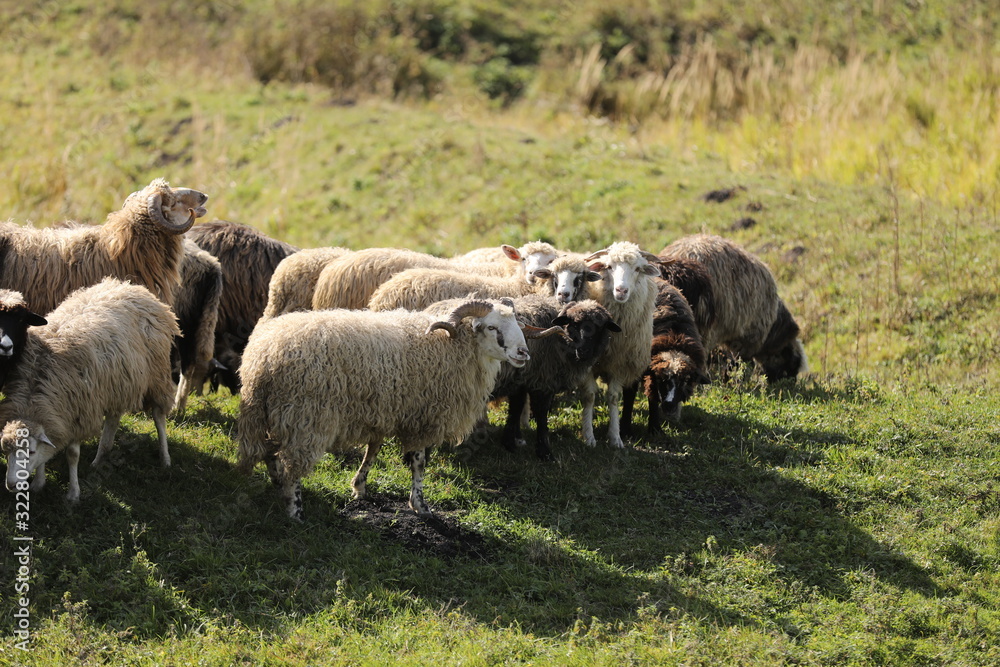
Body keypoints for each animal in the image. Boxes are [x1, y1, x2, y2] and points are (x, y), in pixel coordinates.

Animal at [1, 279, 180, 502]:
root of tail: (131, 287)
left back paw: (165, 458)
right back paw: (100, 457)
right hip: (116, 383)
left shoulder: (79, 412)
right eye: (6, 451)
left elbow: (72, 455)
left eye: (31, 452)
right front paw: (38, 483)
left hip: (157, 376)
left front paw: (73, 494)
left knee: (158, 417)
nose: (11, 485)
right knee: (113, 419)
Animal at [237, 299, 531, 520]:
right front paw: (420, 505)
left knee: (270, 453)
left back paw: (278, 487)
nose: (523, 353)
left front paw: (359, 487)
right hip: (306, 417)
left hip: (270, 413)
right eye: (491, 327)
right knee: (292, 465)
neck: (451, 346)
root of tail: (263, 358)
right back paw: (295, 510)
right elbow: (418, 463)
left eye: (518, 324)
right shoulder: (421, 418)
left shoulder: (382, 410)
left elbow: (373, 450)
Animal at [580, 242, 661, 449]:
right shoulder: (587, 364)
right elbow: (589, 396)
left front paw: (615, 437)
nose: (621, 291)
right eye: (608, 267)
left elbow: (614, 397)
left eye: (638, 269)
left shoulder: (619, 362)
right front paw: (589, 436)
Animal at [621, 279, 710, 436]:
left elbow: (653, 399)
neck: (674, 333)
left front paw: (655, 429)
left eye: (685, 380)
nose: (669, 406)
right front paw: (625, 429)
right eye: (661, 379)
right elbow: (631, 395)